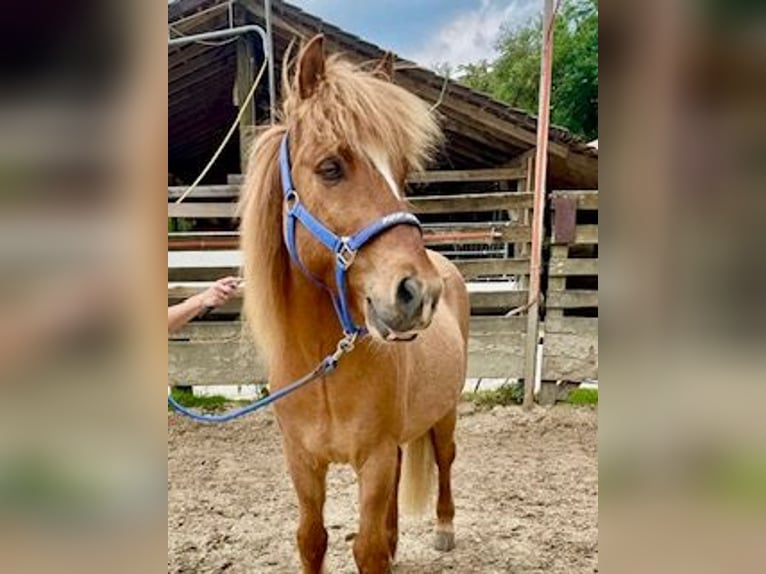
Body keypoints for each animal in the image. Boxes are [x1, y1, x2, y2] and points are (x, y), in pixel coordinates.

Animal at [239, 35, 470, 573]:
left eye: (401, 173)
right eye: (330, 168)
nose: (418, 293)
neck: (323, 365)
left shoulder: (375, 458)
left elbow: (366, 550)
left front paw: (387, 544)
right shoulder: (302, 462)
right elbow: (312, 538)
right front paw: (383, 542)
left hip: (445, 413)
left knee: (445, 459)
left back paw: (444, 528)